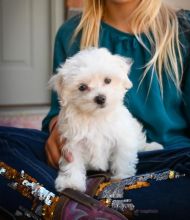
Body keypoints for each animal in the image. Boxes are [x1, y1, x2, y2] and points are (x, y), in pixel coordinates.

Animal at [49, 47, 163, 192]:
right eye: (82, 87)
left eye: (108, 80)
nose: (100, 98)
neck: (97, 116)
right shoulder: (73, 142)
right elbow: (73, 161)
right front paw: (72, 182)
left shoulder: (122, 138)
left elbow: (122, 157)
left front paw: (122, 176)